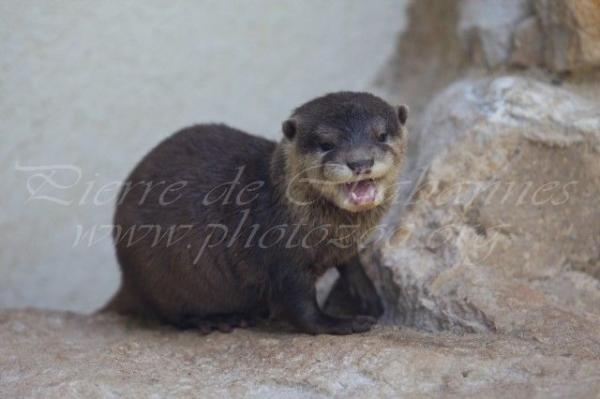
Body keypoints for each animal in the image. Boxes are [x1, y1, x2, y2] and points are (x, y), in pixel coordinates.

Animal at [105, 92, 410, 336]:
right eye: (327, 144)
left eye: (381, 135)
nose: (360, 162)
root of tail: (127, 279)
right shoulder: (280, 253)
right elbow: (302, 309)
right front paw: (343, 323)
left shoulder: (344, 246)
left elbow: (353, 268)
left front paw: (374, 304)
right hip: (159, 277)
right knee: (170, 315)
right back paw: (218, 320)